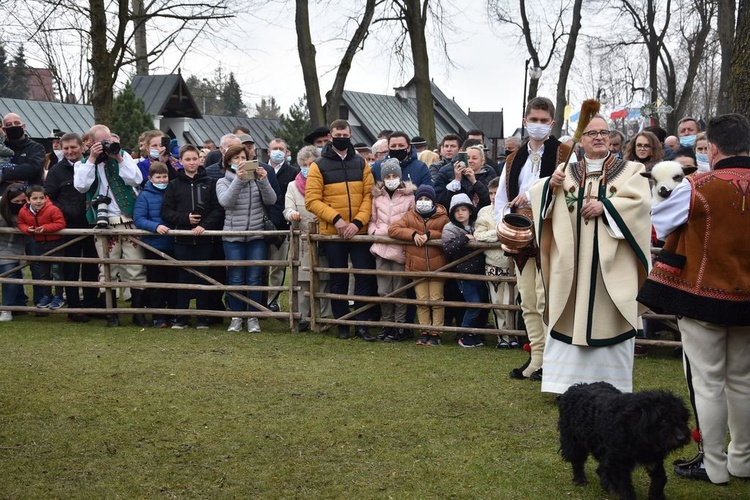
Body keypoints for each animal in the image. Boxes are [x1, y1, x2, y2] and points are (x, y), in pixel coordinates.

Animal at [560, 380, 692, 498]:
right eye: (664, 420)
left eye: (682, 417)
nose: (682, 438)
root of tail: (577, 386)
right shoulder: (618, 462)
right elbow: (626, 488)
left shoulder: (653, 458)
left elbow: (661, 479)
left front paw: (657, 496)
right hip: (574, 441)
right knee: (577, 462)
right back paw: (580, 480)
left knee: (601, 468)